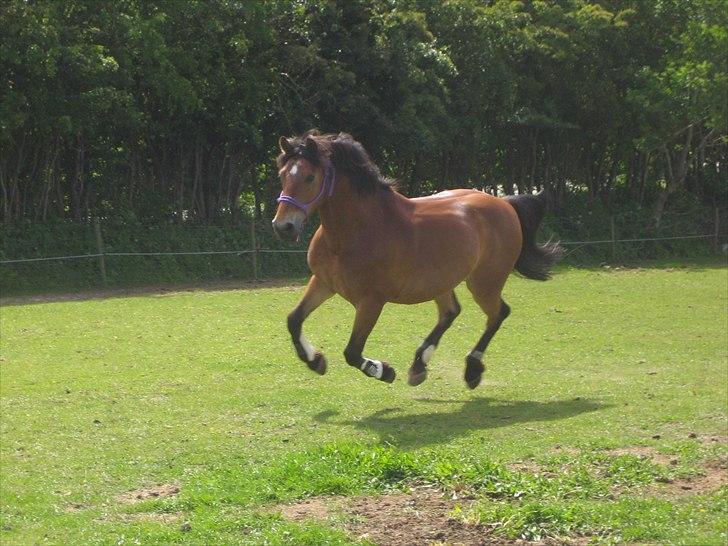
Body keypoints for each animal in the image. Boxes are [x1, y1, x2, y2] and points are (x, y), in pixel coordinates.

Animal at [272, 130, 564, 386]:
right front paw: (316, 361)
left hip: (484, 282)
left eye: (310, 177)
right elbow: (293, 320)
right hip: (441, 281)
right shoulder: (323, 282)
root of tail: (504, 203)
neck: (356, 231)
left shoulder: (371, 301)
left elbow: (352, 352)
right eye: (283, 175)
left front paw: (384, 371)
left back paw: (471, 370)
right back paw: (419, 366)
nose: (283, 227)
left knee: (498, 313)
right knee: (451, 312)